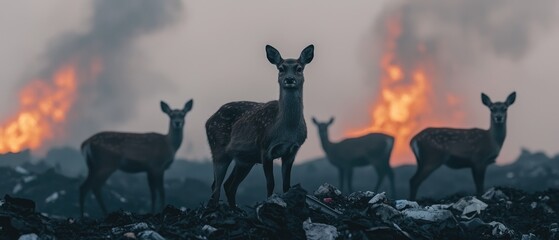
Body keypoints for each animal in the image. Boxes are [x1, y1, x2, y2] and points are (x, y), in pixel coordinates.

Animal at [207, 44, 316, 207]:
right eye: (281, 68)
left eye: (299, 68)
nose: (289, 79)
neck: (286, 131)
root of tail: (208, 121)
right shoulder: (265, 148)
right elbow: (270, 183)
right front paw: (271, 201)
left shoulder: (292, 151)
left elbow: (286, 185)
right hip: (218, 149)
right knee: (216, 187)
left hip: (245, 160)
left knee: (228, 185)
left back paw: (235, 209)